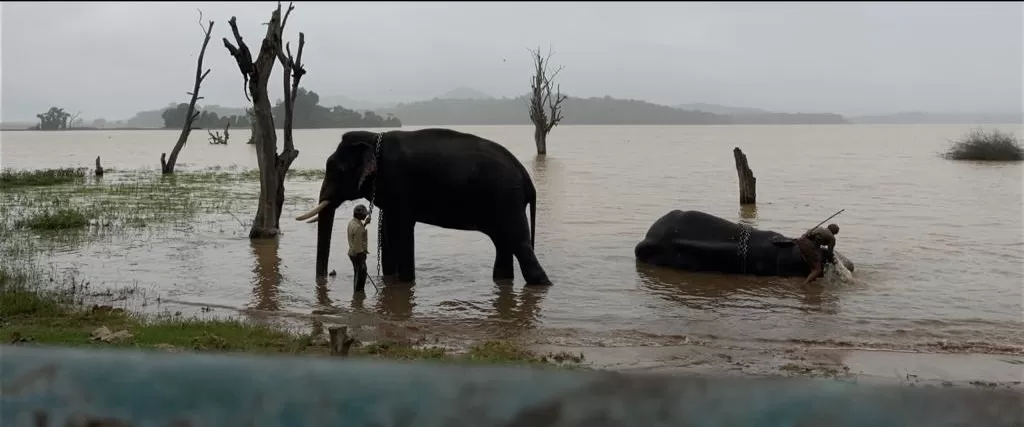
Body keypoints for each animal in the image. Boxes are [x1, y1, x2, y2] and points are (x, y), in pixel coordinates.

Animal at [294, 127, 552, 286]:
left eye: (336, 170)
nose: (326, 276)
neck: (375, 137)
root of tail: (527, 179)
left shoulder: (399, 183)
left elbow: (400, 230)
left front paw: (405, 282)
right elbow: (388, 231)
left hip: (507, 201)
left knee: (519, 244)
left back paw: (542, 283)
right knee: (504, 244)